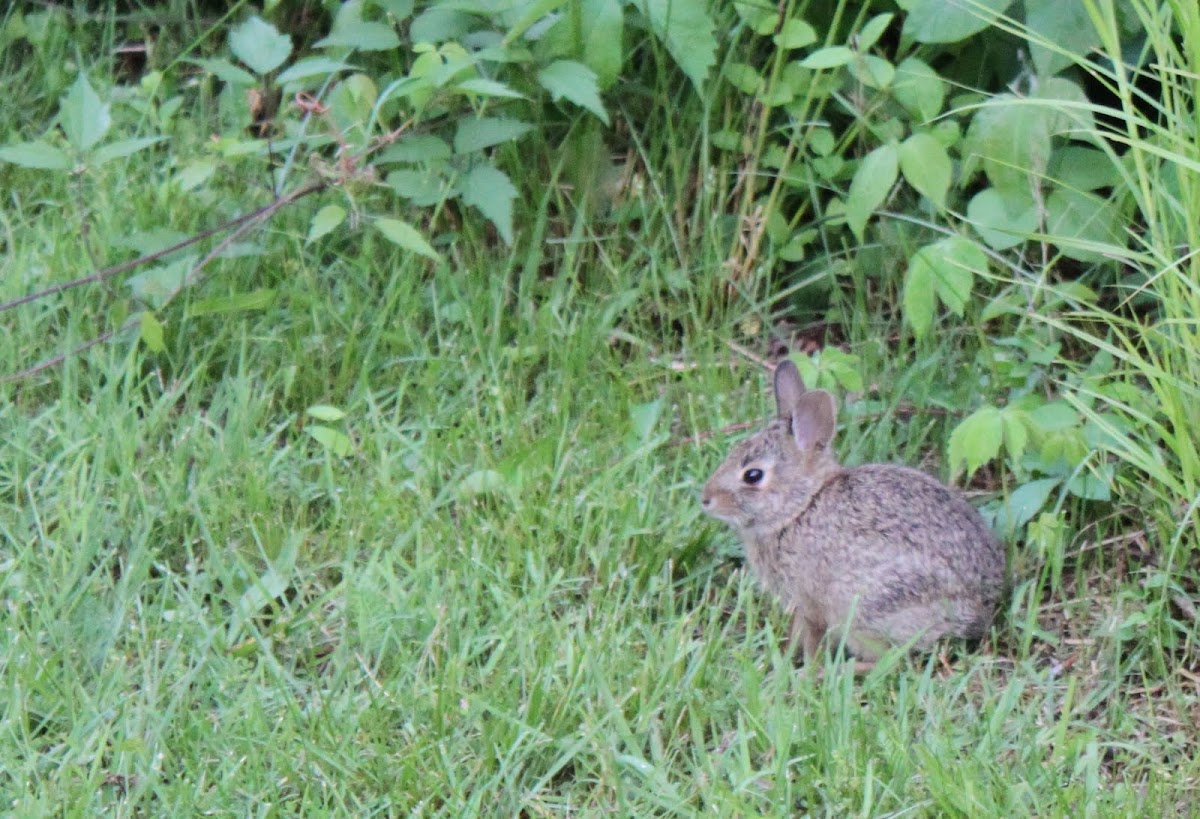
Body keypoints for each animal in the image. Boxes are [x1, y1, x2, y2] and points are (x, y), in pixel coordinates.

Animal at [700, 360, 1008, 667]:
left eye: (753, 475)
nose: (706, 499)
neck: (801, 507)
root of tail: (977, 612)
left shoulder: (809, 601)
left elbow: (810, 636)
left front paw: (804, 668)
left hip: (868, 606)